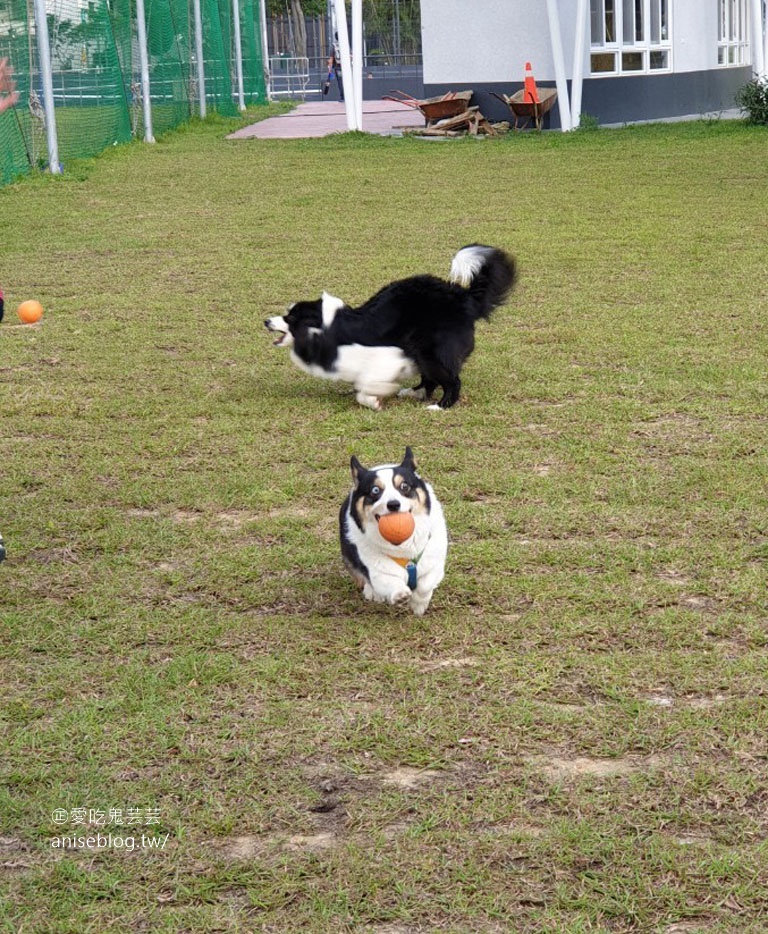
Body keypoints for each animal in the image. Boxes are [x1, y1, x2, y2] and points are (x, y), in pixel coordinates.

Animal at [264, 245, 516, 410]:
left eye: (290, 318)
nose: (266, 321)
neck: (327, 328)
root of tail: (464, 297)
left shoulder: (384, 356)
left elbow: (365, 387)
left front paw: (375, 400)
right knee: (431, 379)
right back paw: (414, 392)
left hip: (431, 350)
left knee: (451, 380)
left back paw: (441, 406)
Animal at [340, 450, 448, 616]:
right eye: (375, 490)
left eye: (404, 486)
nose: (393, 504)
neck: (403, 547)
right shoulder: (377, 571)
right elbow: (388, 581)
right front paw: (400, 594)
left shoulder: (434, 563)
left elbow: (425, 585)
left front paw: (418, 605)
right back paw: (373, 593)